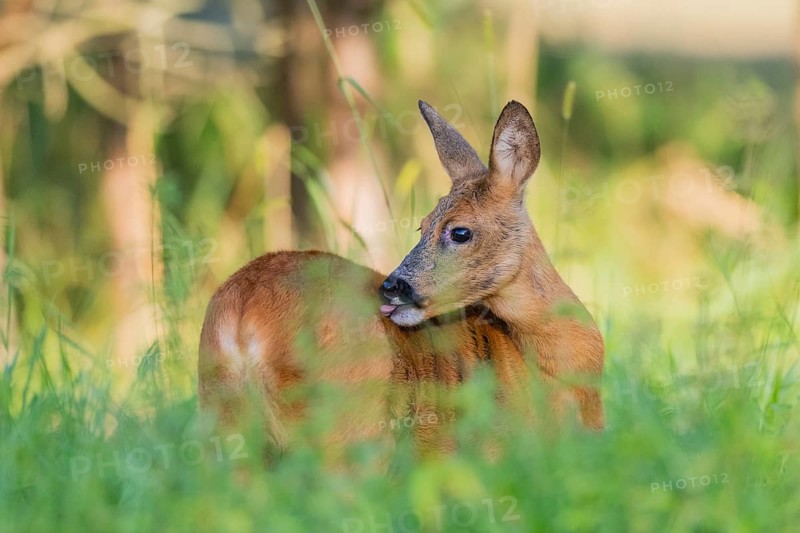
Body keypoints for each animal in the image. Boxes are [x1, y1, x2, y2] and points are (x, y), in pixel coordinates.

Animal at [198, 100, 604, 456]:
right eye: (422, 226)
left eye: (459, 231)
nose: (392, 286)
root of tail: (242, 312)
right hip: (349, 419)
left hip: (224, 417)